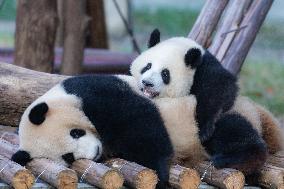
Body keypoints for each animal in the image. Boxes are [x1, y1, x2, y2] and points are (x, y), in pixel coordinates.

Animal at [12, 74, 282, 187]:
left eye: (75, 133)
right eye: (67, 156)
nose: (94, 152)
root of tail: (253, 107)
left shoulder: (92, 92)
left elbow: (139, 121)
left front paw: (160, 171)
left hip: (208, 113)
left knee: (228, 130)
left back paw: (240, 158)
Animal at [130, 29, 282, 176]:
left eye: (165, 74)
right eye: (147, 66)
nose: (147, 83)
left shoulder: (206, 68)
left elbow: (219, 87)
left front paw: (203, 128)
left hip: (236, 115)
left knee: (233, 129)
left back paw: (235, 159)